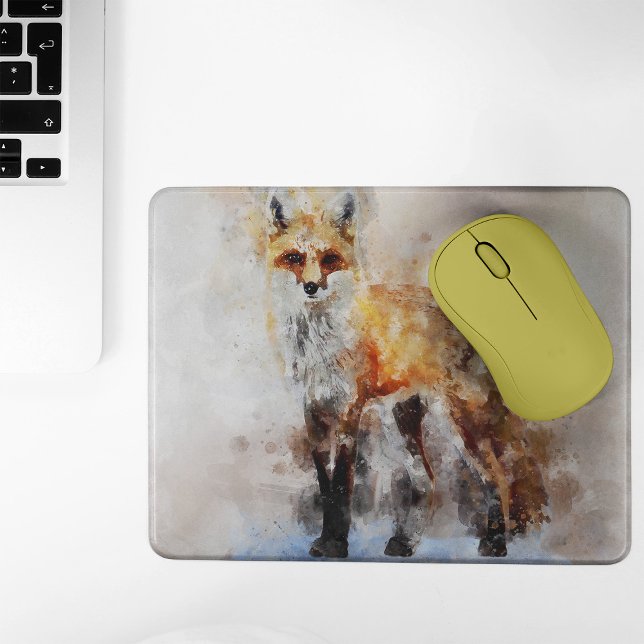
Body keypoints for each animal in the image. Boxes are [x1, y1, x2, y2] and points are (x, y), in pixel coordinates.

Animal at [264, 188, 548, 559]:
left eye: (329, 259)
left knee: (496, 477)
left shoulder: (348, 410)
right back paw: (406, 541)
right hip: (401, 422)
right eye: (295, 258)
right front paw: (326, 540)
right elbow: (325, 487)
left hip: (459, 421)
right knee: (427, 479)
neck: (319, 345)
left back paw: (496, 543)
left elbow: (341, 486)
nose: (311, 287)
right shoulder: (313, 410)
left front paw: (337, 544)